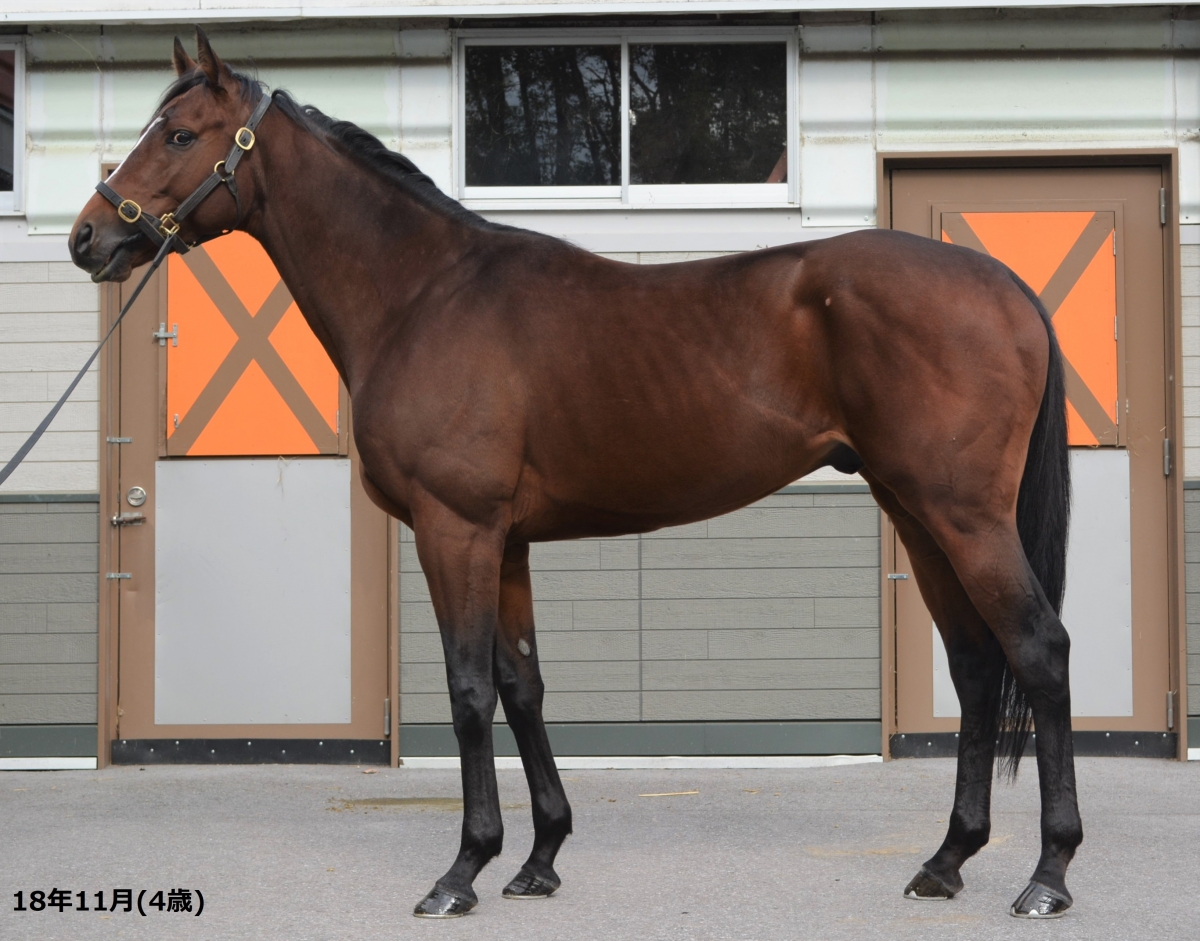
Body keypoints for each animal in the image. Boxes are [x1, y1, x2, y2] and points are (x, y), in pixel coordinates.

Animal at [69, 30, 1080, 920]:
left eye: (177, 134)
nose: (88, 238)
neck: (421, 295)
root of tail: (1004, 286)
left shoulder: (455, 528)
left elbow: (469, 689)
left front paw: (462, 871)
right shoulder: (507, 541)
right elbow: (522, 685)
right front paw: (539, 857)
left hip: (964, 514)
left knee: (1039, 648)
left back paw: (1048, 874)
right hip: (916, 510)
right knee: (977, 662)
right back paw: (946, 860)